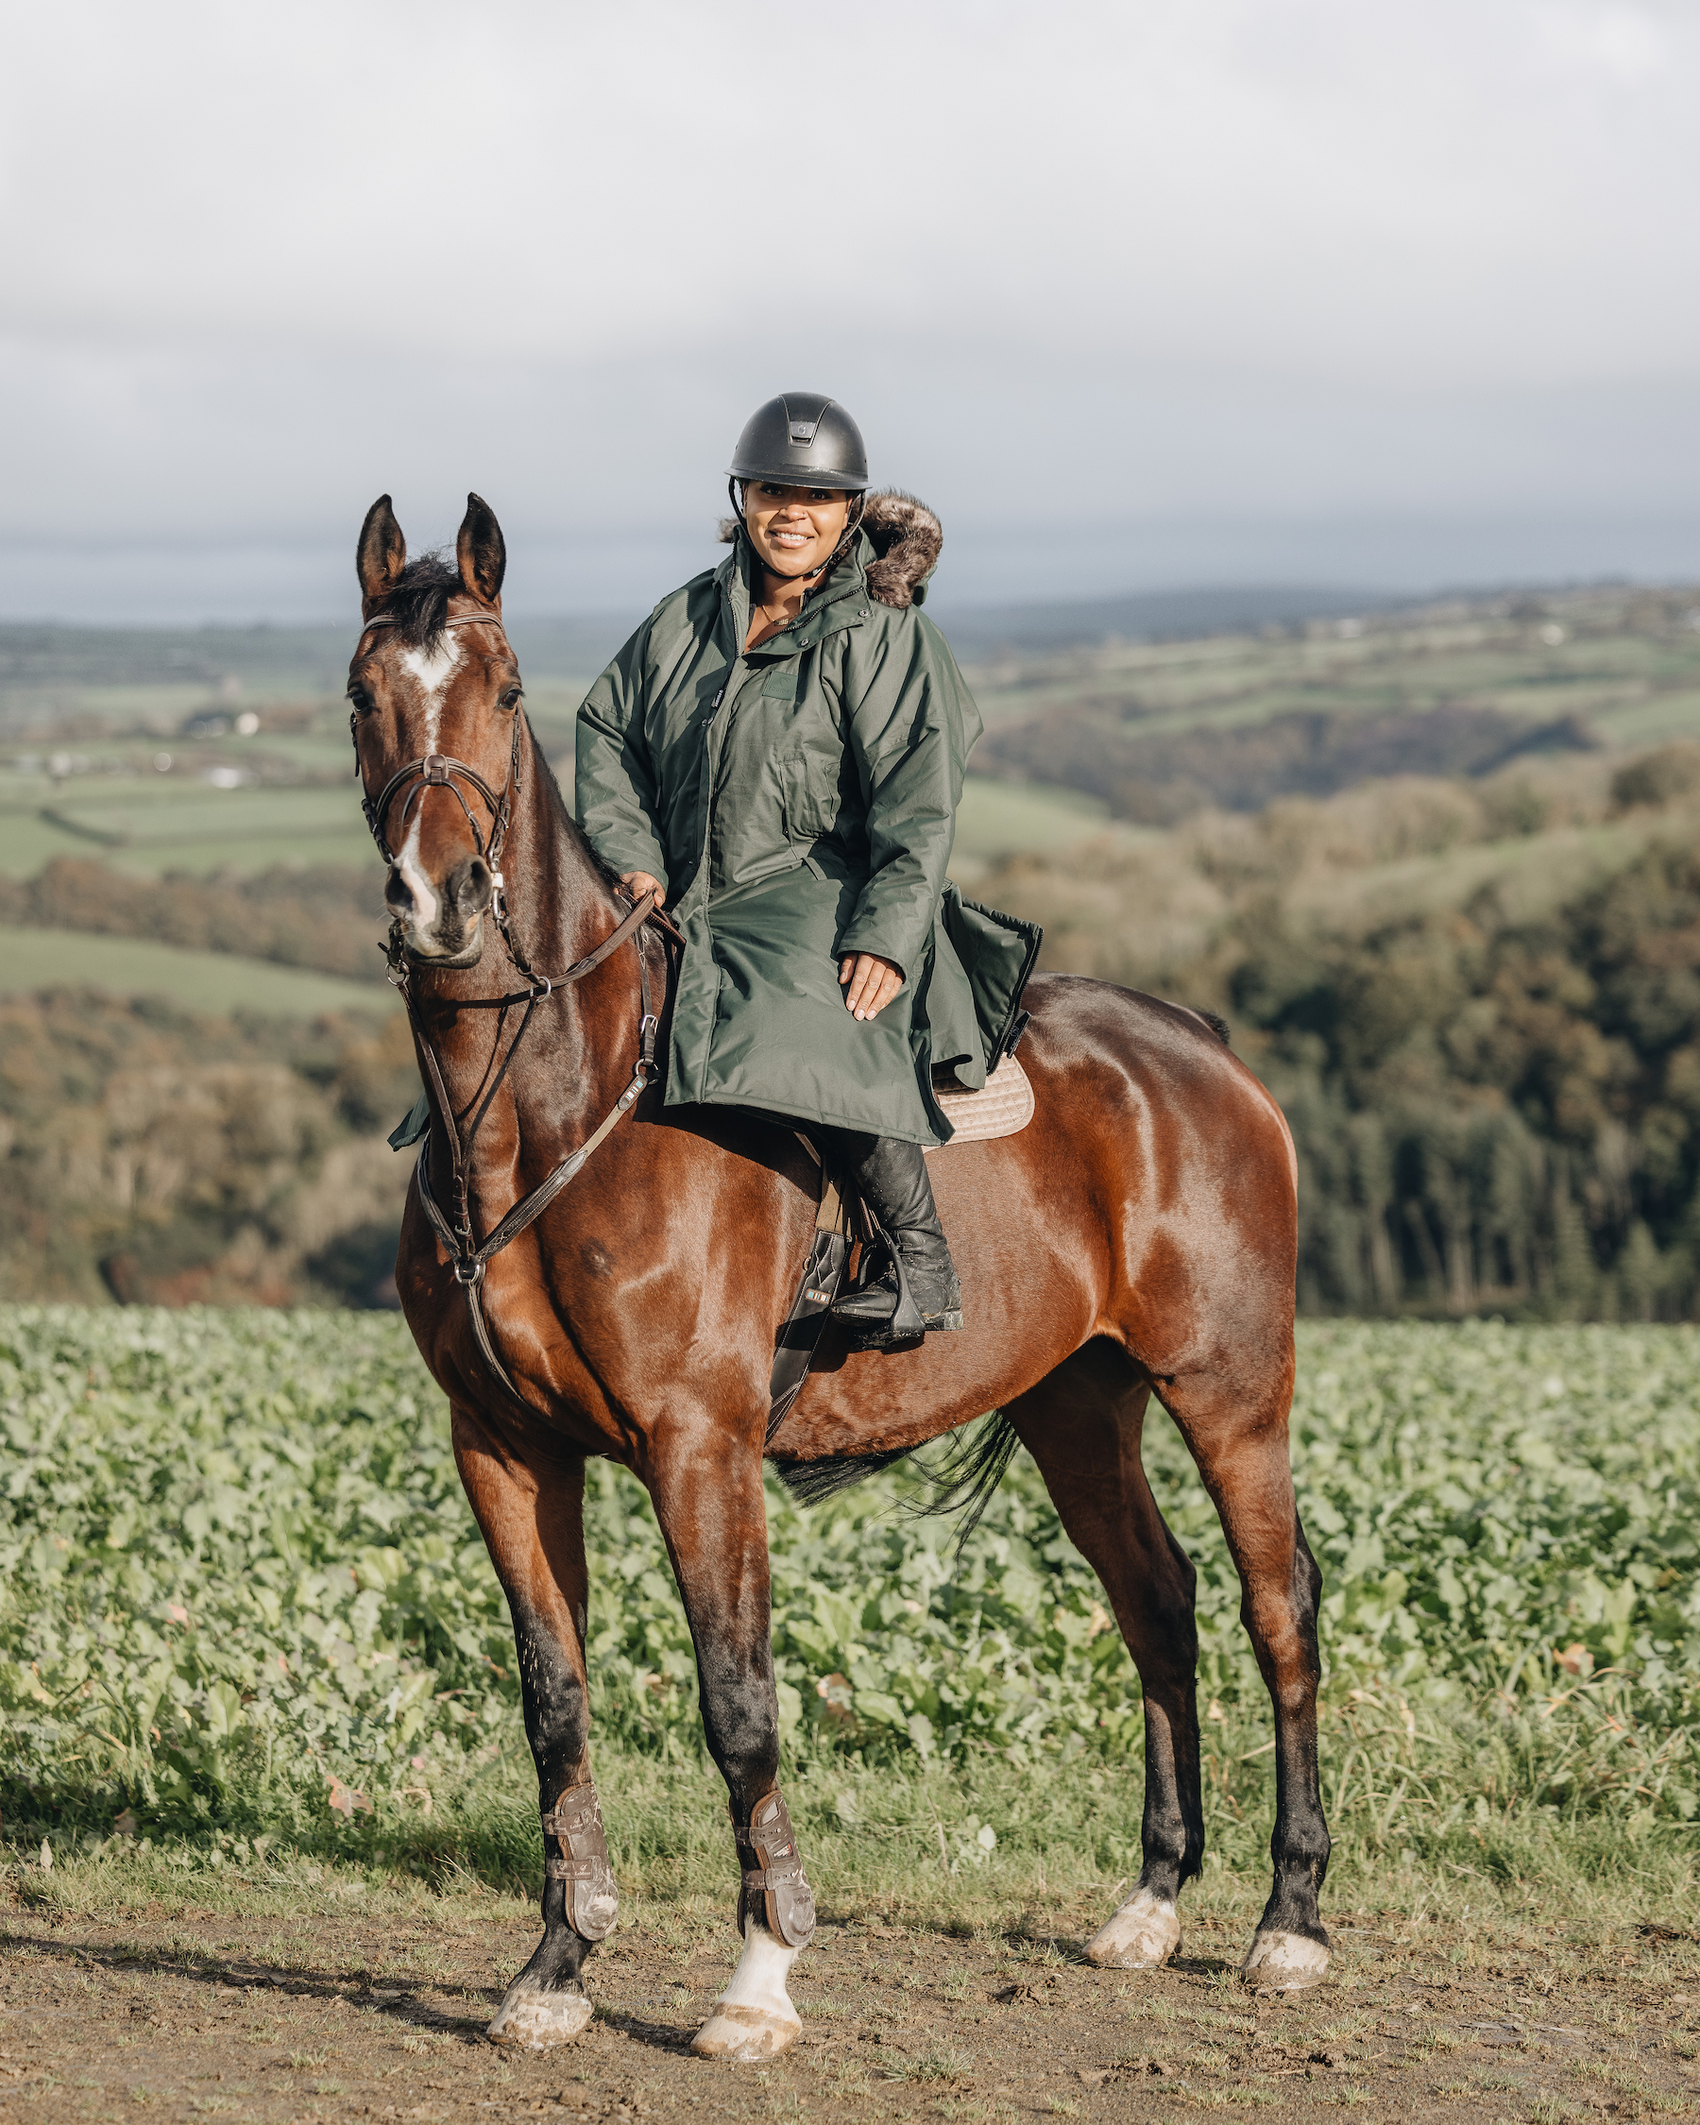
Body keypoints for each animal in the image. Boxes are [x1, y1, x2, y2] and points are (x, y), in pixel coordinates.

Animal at [344, 493, 1326, 2057]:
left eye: (501, 690)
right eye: (362, 694)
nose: (438, 905)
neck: (546, 1110)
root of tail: (1197, 1046)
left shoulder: (700, 1445)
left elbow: (737, 1700)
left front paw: (759, 1974)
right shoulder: (498, 1446)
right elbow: (553, 1700)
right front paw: (557, 1964)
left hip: (1229, 1391)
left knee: (1275, 1607)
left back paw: (1289, 1921)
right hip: (1077, 1404)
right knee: (1157, 1602)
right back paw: (1153, 1904)